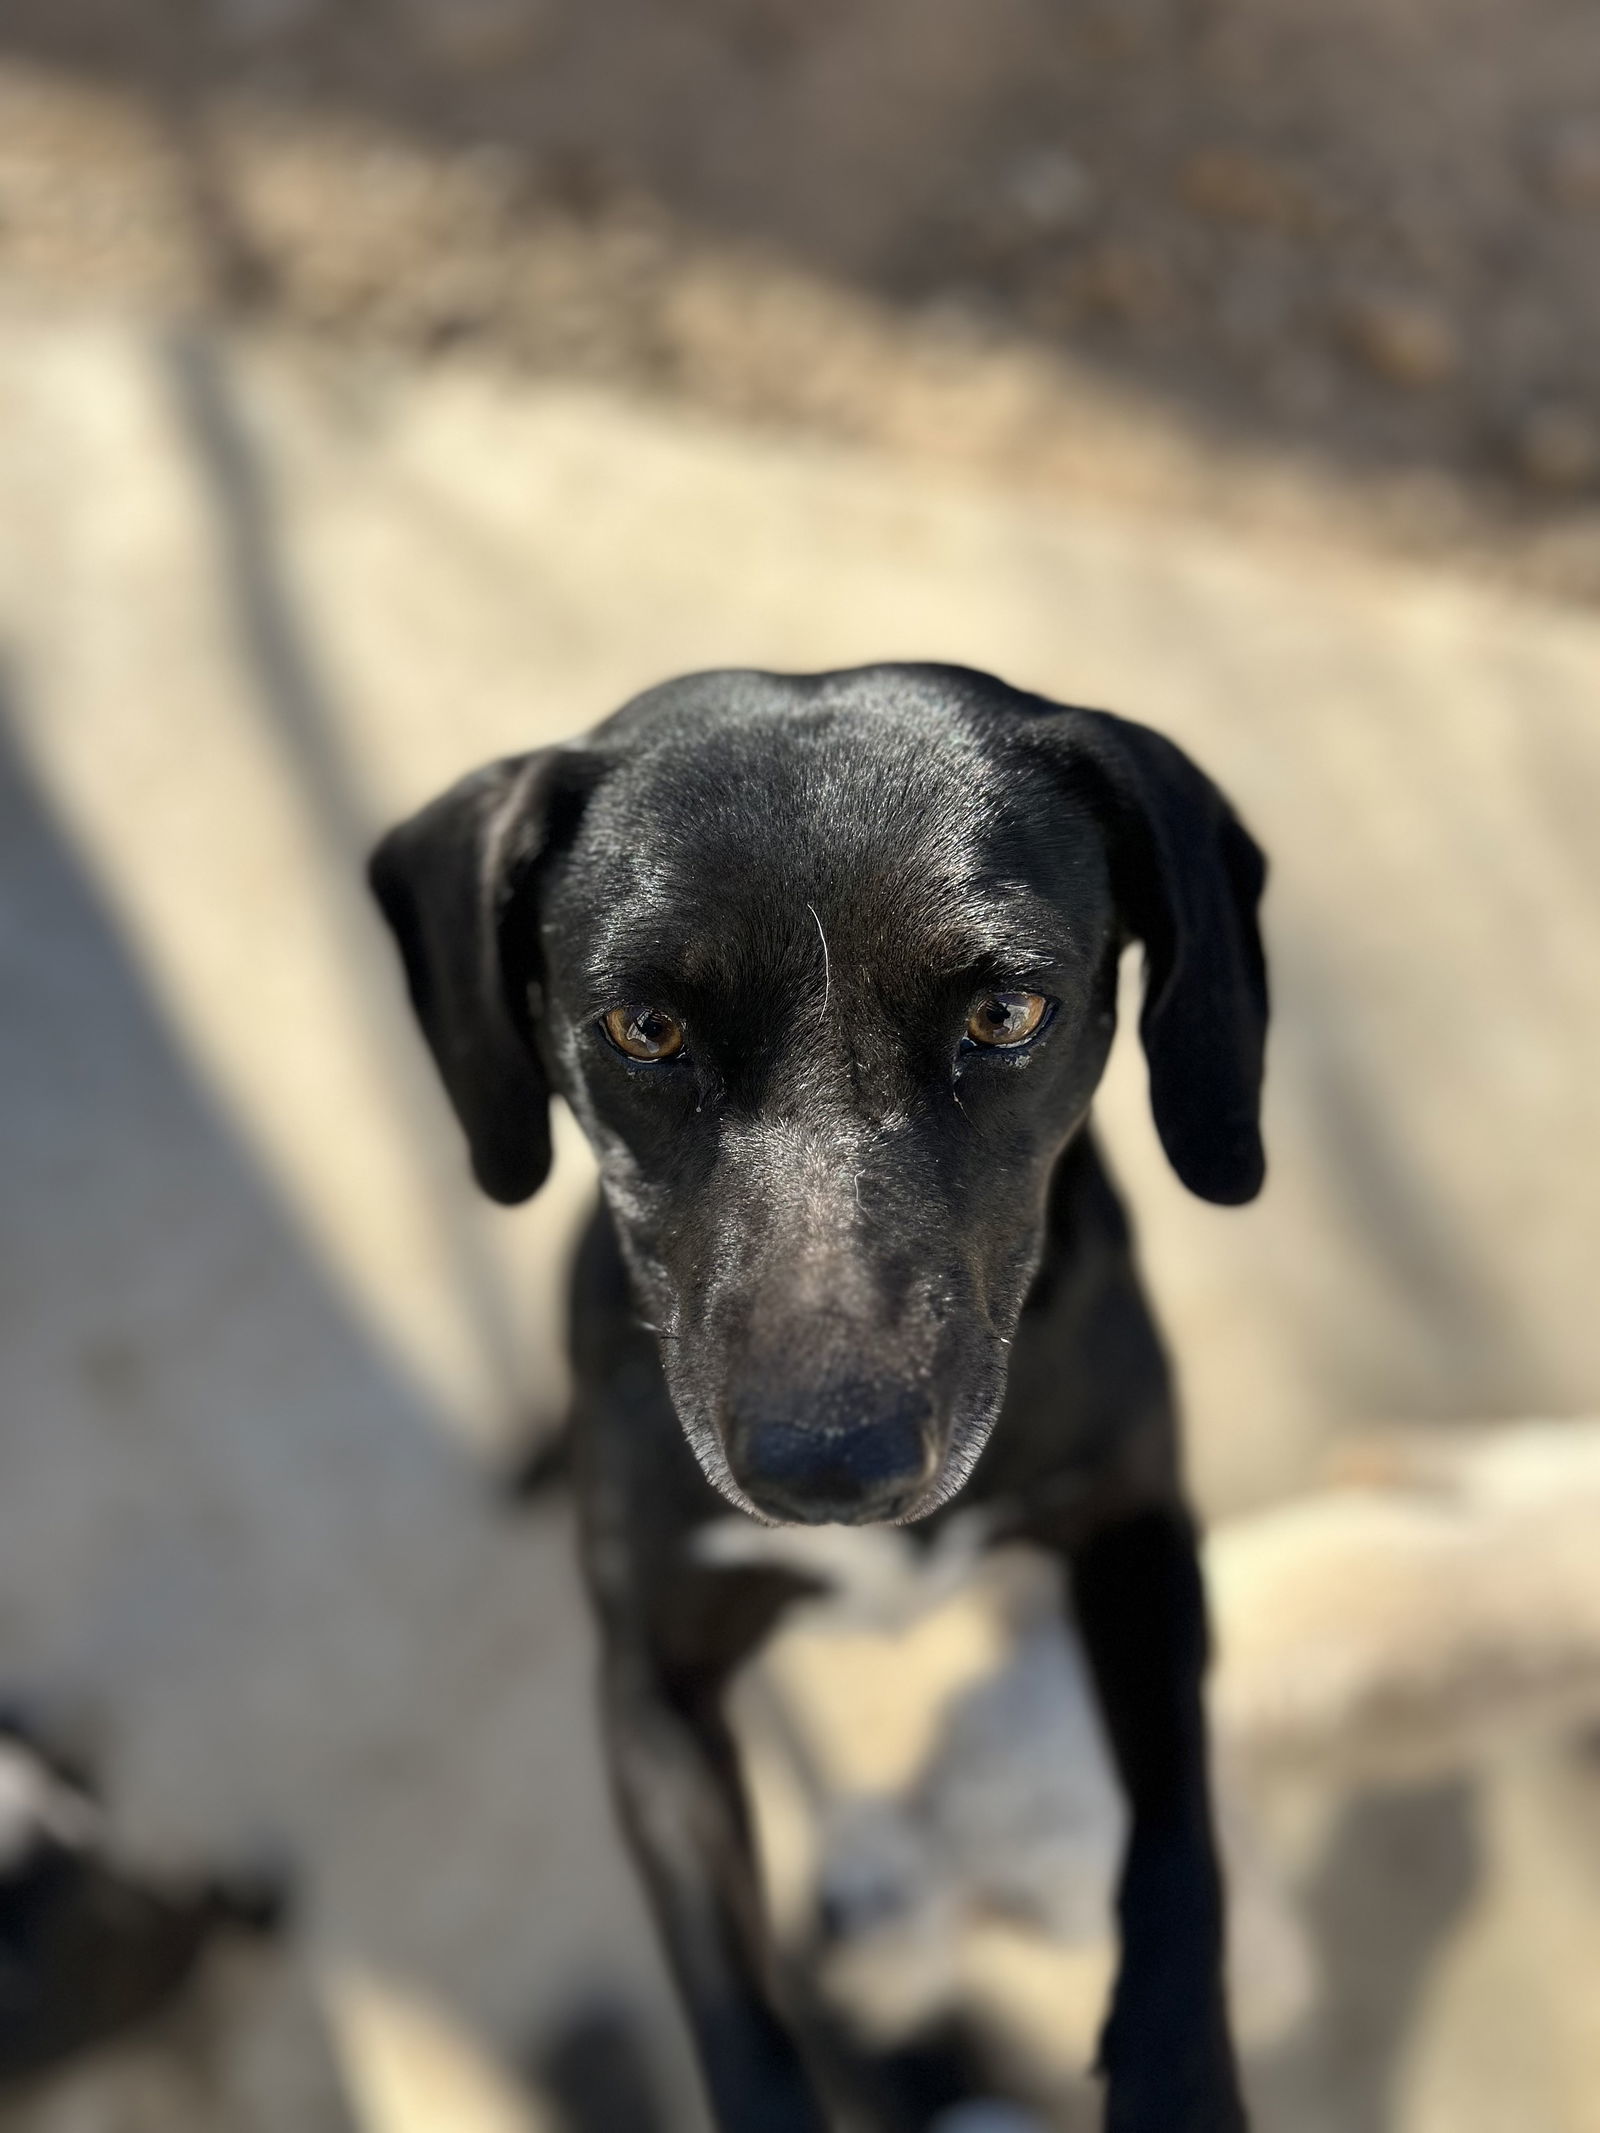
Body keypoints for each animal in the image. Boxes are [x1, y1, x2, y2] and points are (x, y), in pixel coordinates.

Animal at [373, 656, 1262, 2124]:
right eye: (646, 1027)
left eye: (1006, 1015)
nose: (830, 1467)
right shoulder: (654, 1691)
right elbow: (735, 2005)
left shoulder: (1140, 1534)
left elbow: (1180, 1846)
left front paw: (1179, 2079)